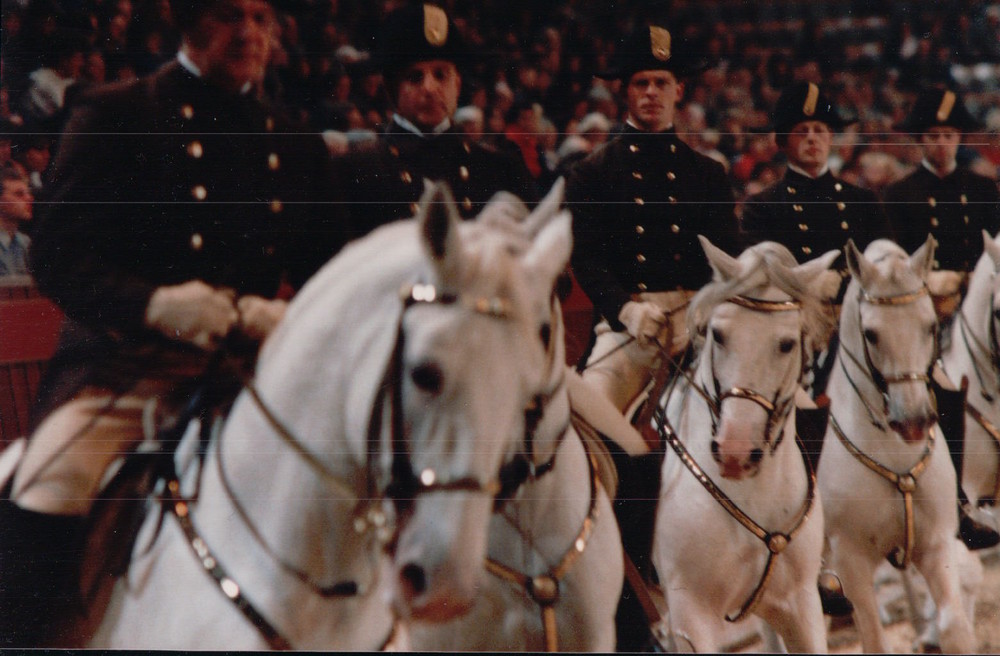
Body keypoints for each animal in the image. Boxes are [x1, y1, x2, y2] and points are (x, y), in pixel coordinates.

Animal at [648, 238, 836, 652]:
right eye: (718, 335)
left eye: (786, 344)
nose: (734, 454)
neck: (749, 492)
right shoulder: (692, 618)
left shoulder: (800, 603)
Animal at [820, 238, 976, 652]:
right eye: (871, 334)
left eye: (930, 325)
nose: (914, 422)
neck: (890, 447)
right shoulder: (851, 564)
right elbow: (874, 640)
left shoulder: (936, 544)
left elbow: (954, 627)